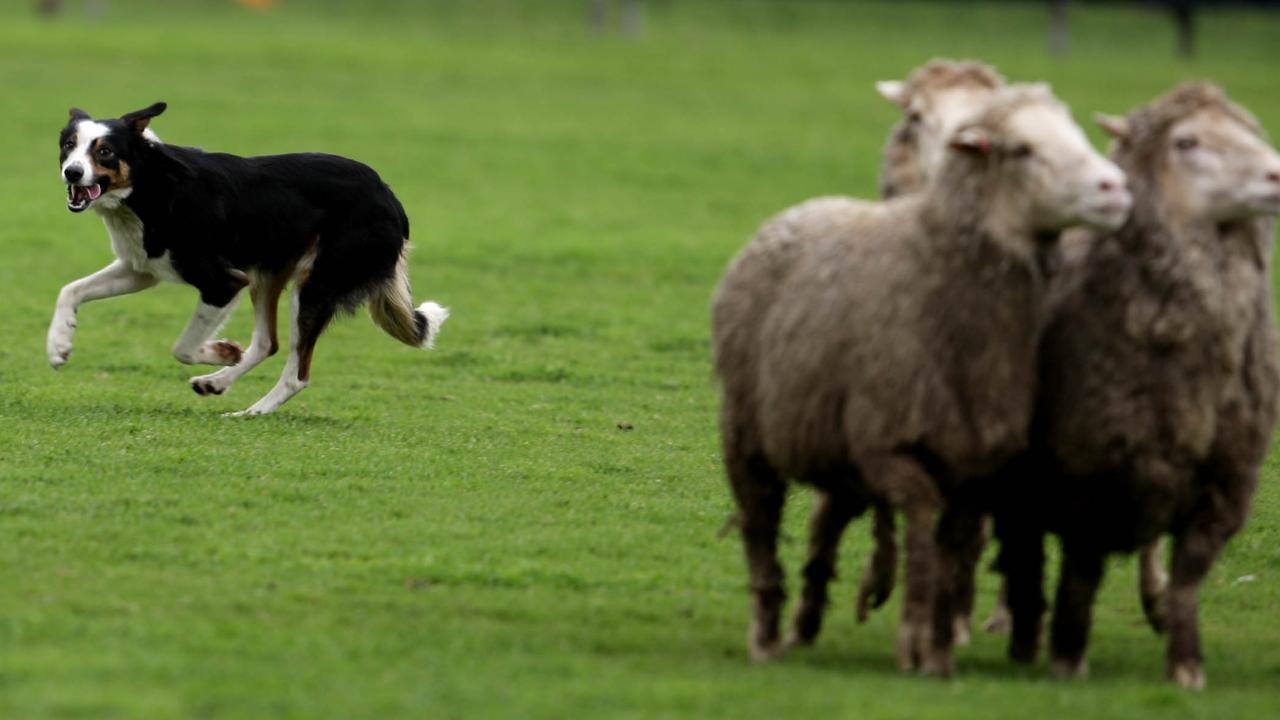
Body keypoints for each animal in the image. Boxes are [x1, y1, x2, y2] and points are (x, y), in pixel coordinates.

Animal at [49, 103, 450, 412]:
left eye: (104, 151)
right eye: (69, 146)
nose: (72, 172)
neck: (151, 185)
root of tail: (390, 198)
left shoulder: (223, 282)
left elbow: (183, 347)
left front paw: (222, 350)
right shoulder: (141, 269)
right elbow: (70, 289)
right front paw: (59, 345)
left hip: (313, 285)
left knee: (297, 374)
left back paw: (250, 412)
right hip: (268, 274)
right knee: (267, 343)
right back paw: (216, 383)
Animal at [711, 83, 1131, 671]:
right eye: (1021, 149)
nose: (1114, 187)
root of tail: (800, 209)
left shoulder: (975, 464)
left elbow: (953, 544)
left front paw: (936, 646)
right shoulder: (891, 446)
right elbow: (921, 528)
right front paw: (915, 636)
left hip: (838, 448)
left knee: (827, 520)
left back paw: (807, 619)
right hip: (747, 433)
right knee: (759, 523)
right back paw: (767, 632)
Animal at [998, 81, 1280, 686]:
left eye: (1250, 129)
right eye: (1187, 141)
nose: (1274, 173)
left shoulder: (1221, 485)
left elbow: (1188, 577)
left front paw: (1186, 663)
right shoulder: (1085, 475)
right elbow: (1080, 572)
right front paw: (1067, 655)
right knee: (1022, 543)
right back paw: (1017, 626)